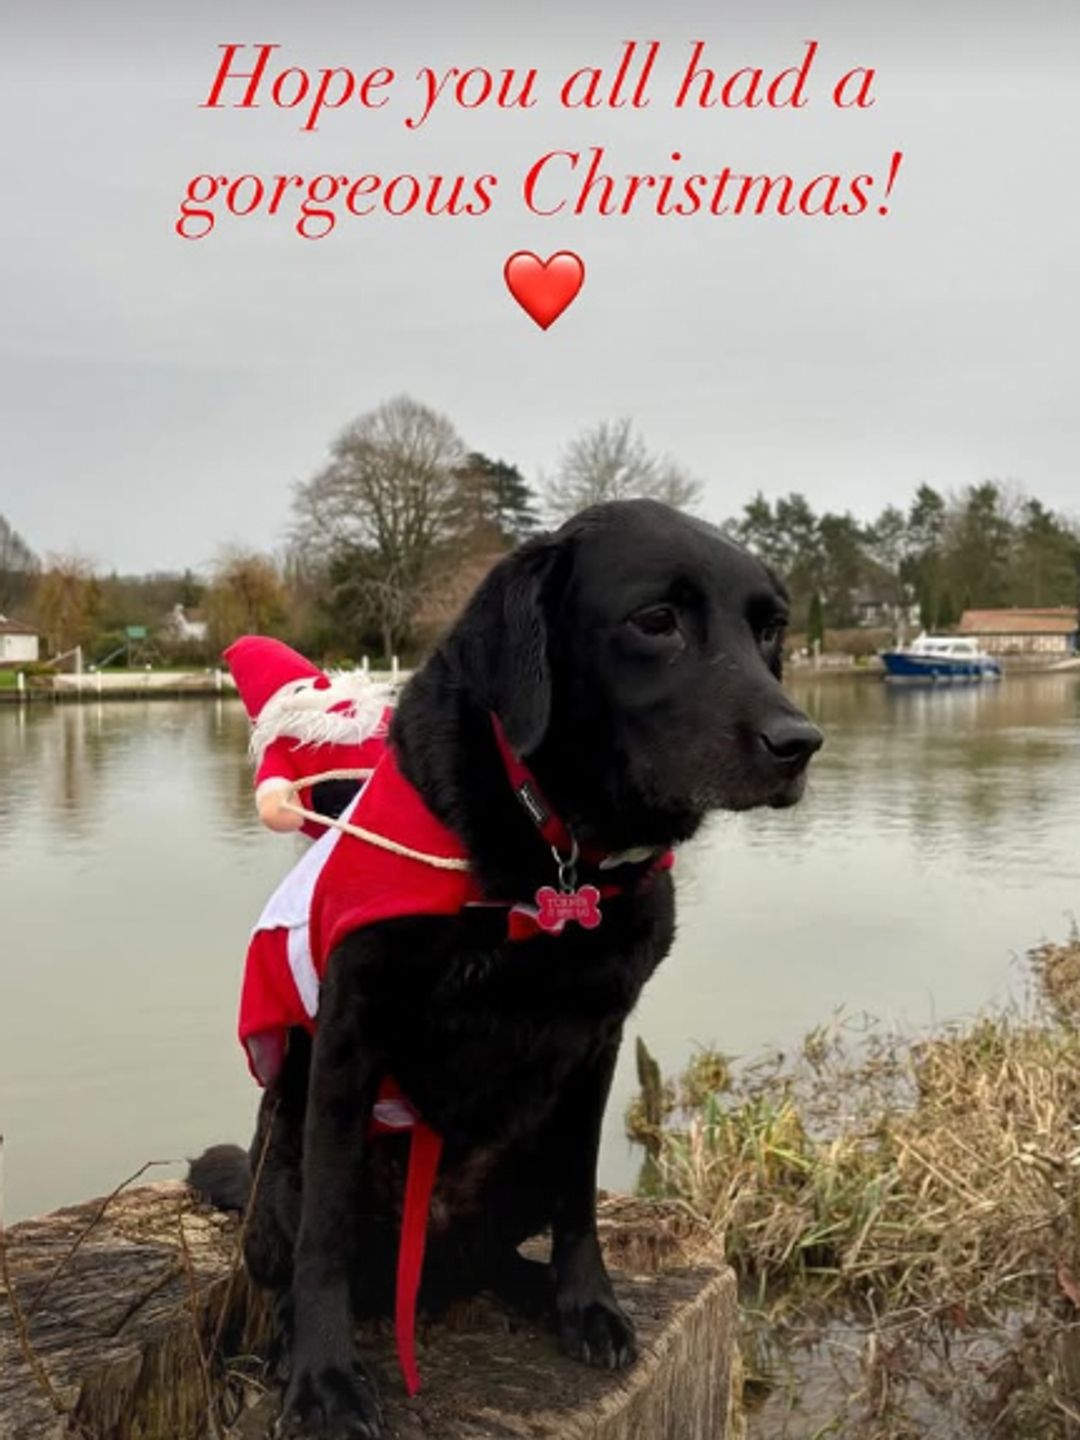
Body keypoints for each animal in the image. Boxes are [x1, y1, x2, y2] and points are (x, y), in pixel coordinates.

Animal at [190, 501, 823, 1434]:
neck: (555, 850)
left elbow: (581, 1199)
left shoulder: (599, 1039)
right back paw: (285, 1339)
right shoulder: (350, 1036)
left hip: (522, 1154)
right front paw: (324, 1378)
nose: (799, 743)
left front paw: (588, 1304)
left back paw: (532, 1290)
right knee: (288, 1262)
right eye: (656, 620)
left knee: (499, 1251)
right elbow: (325, 1239)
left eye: (770, 627)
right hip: (283, 1161)